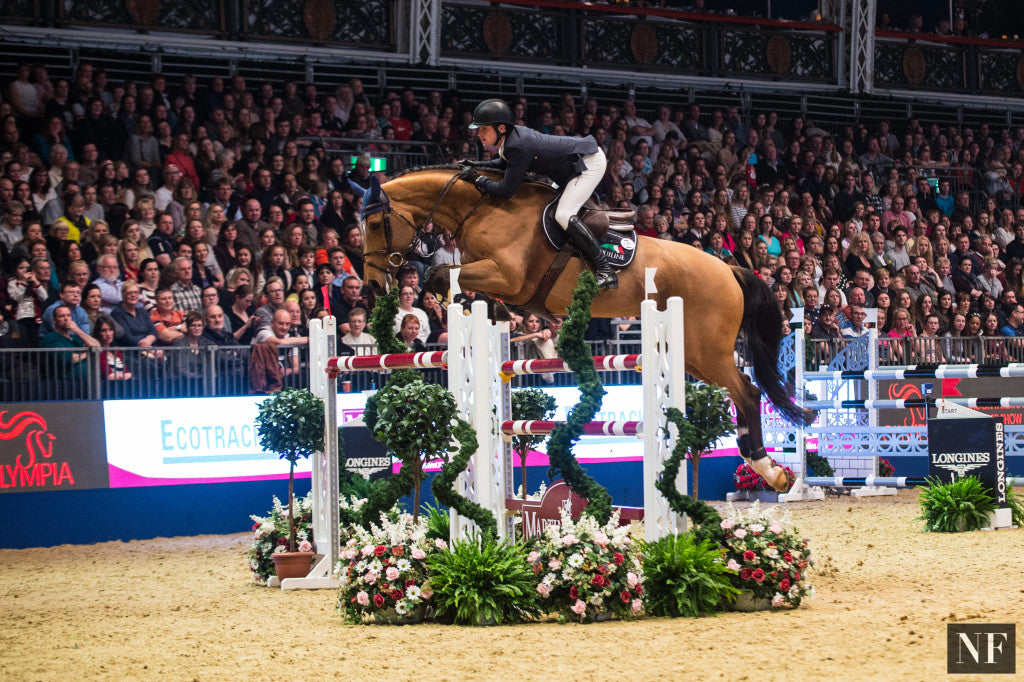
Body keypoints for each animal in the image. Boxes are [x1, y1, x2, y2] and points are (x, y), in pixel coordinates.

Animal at [360, 166, 815, 491]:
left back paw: (768, 468)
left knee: (747, 391)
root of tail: (730, 268)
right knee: (743, 389)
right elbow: (447, 277)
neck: (481, 209)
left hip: (708, 351)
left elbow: (441, 273)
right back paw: (770, 468)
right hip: (691, 354)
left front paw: (468, 303)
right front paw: (490, 312)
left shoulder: (507, 275)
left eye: (377, 224)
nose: (371, 285)